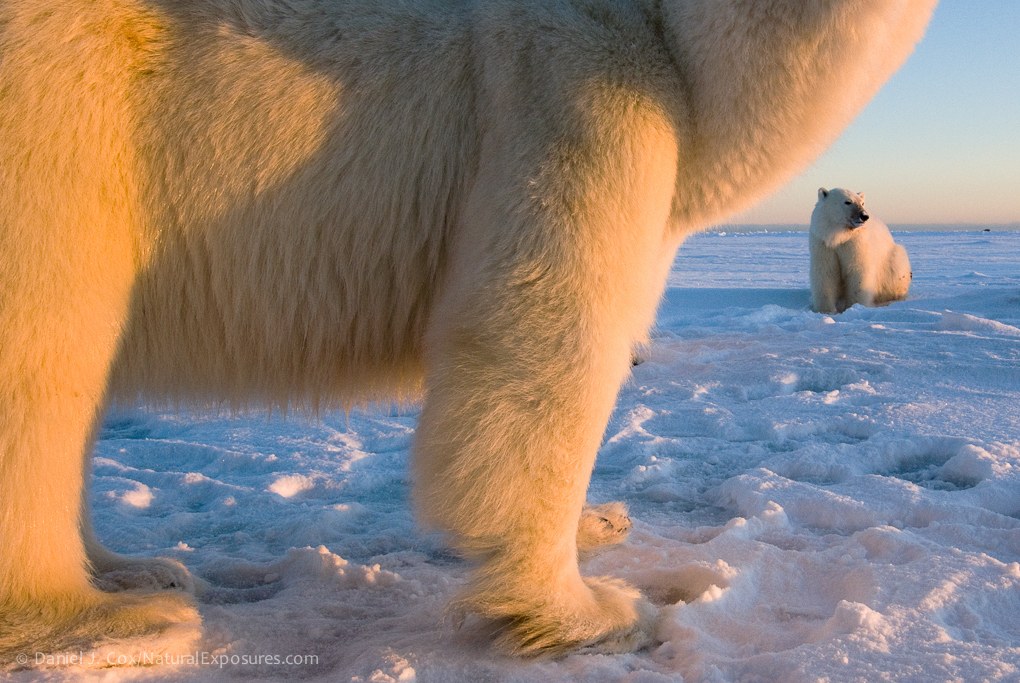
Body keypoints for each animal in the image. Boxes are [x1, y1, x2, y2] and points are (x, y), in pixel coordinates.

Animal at [0, 0, 936, 662]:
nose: (863, 209)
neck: (666, 28)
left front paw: (601, 521)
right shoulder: (566, 90)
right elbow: (541, 331)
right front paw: (591, 609)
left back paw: (131, 563)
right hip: (67, 103)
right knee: (49, 344)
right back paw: (109, 611)